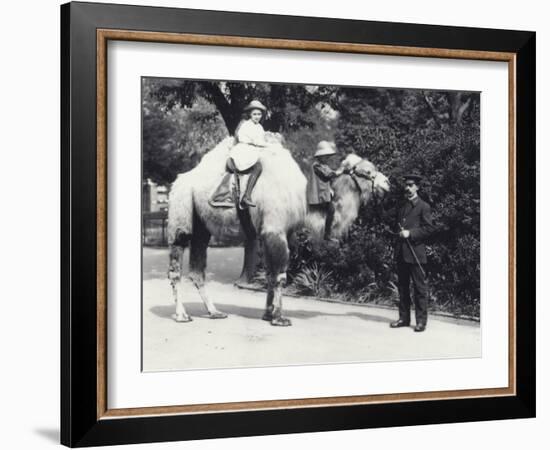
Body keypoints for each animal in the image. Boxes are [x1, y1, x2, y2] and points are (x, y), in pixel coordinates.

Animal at [166, 134, 390, 326]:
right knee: (176, 263)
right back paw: (181, 315)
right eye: (366, 171)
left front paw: (268, 314)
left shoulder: (280, 234)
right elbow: (280, 276)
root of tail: (178, 181)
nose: (387, 183)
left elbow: (270, 275)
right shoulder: (275, 231)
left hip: (201, 226)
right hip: (181, 210)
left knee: (197, 270)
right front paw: (279, 318)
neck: (302, 199)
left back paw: (214, 312)